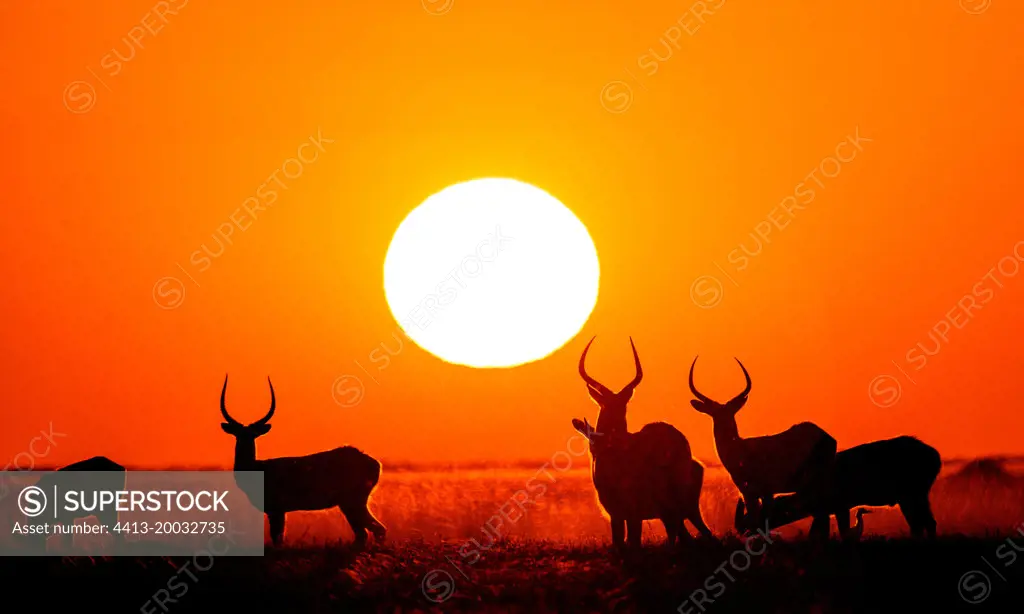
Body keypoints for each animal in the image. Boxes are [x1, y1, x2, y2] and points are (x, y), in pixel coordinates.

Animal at [220, 374, 387, 548]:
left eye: (252, 434)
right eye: (238, 434)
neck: (257, 468)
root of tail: (376, 463)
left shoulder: (276, 509)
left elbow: (277, 538)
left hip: (351, 501)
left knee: (371, 531)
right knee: (371, 531)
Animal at [569, 339, 712, 548]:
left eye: (624, 406)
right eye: (606, 405)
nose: (618, 437)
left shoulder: (633, 514)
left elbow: (633, 543)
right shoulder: (616, 515)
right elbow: (620, 543)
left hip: (682, 508)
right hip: (671, 511)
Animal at [688, 354, 839, 536]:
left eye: (731, 412)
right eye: (714, 414)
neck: (741, 452)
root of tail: (827, 436)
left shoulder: (767, 492)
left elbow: (763, 522)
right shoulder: (748, 494)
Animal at [737, 435, 942, 536]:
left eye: (766, 512)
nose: (743, 528)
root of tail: (934, 455)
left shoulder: (840, 509)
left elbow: (842, 533)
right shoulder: (824, 513)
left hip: (912, 497)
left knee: (922, 524)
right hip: (913, 499)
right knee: (923, 524)